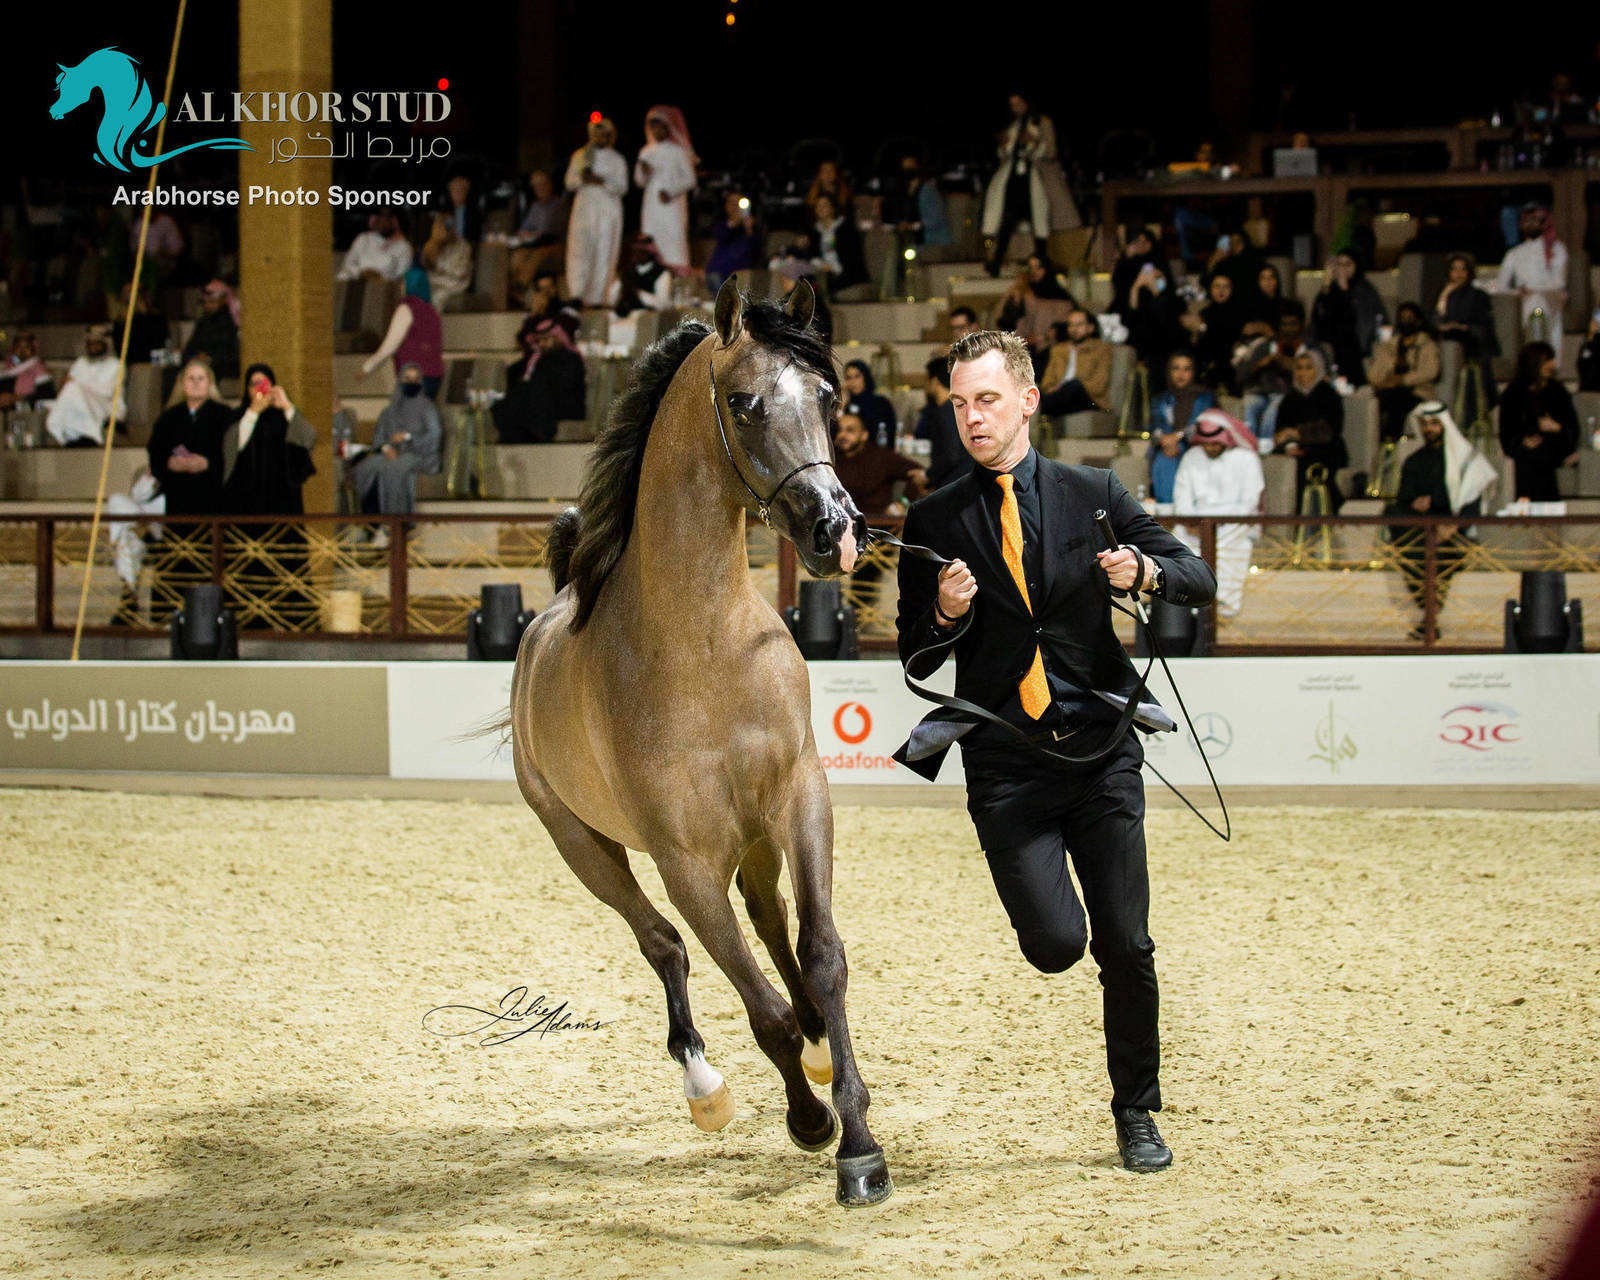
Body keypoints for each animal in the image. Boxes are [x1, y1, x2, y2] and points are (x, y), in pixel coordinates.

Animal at [508, 278, 892, 1207]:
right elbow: (758, 1008)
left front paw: (860, 1139)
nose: (838, 532)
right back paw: (703, 1083)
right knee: (663, 946)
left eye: (828, 397)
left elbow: (821, 956)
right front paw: (813, 1125)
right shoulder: (684, 863)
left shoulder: (802, 799)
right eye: (744, 403)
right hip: (586, 846)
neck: (704, 643)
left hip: (751, 839)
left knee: (773, 920)